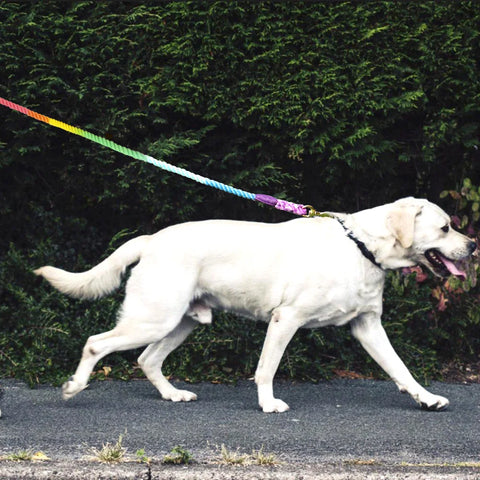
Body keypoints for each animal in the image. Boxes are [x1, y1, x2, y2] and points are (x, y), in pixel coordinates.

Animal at [34, 197, 476, 410]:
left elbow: (401, 370)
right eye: (445, 227)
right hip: (153, 318)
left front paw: (426, 399)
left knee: (148, 360)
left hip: (181, 322)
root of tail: (150, 239)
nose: (473, 245)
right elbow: (266, 370)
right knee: (96, 343)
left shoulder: (367, 326)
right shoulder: (285, 319)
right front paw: (267, 404)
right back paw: (74, 387)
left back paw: (173, 395)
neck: (361, 246)